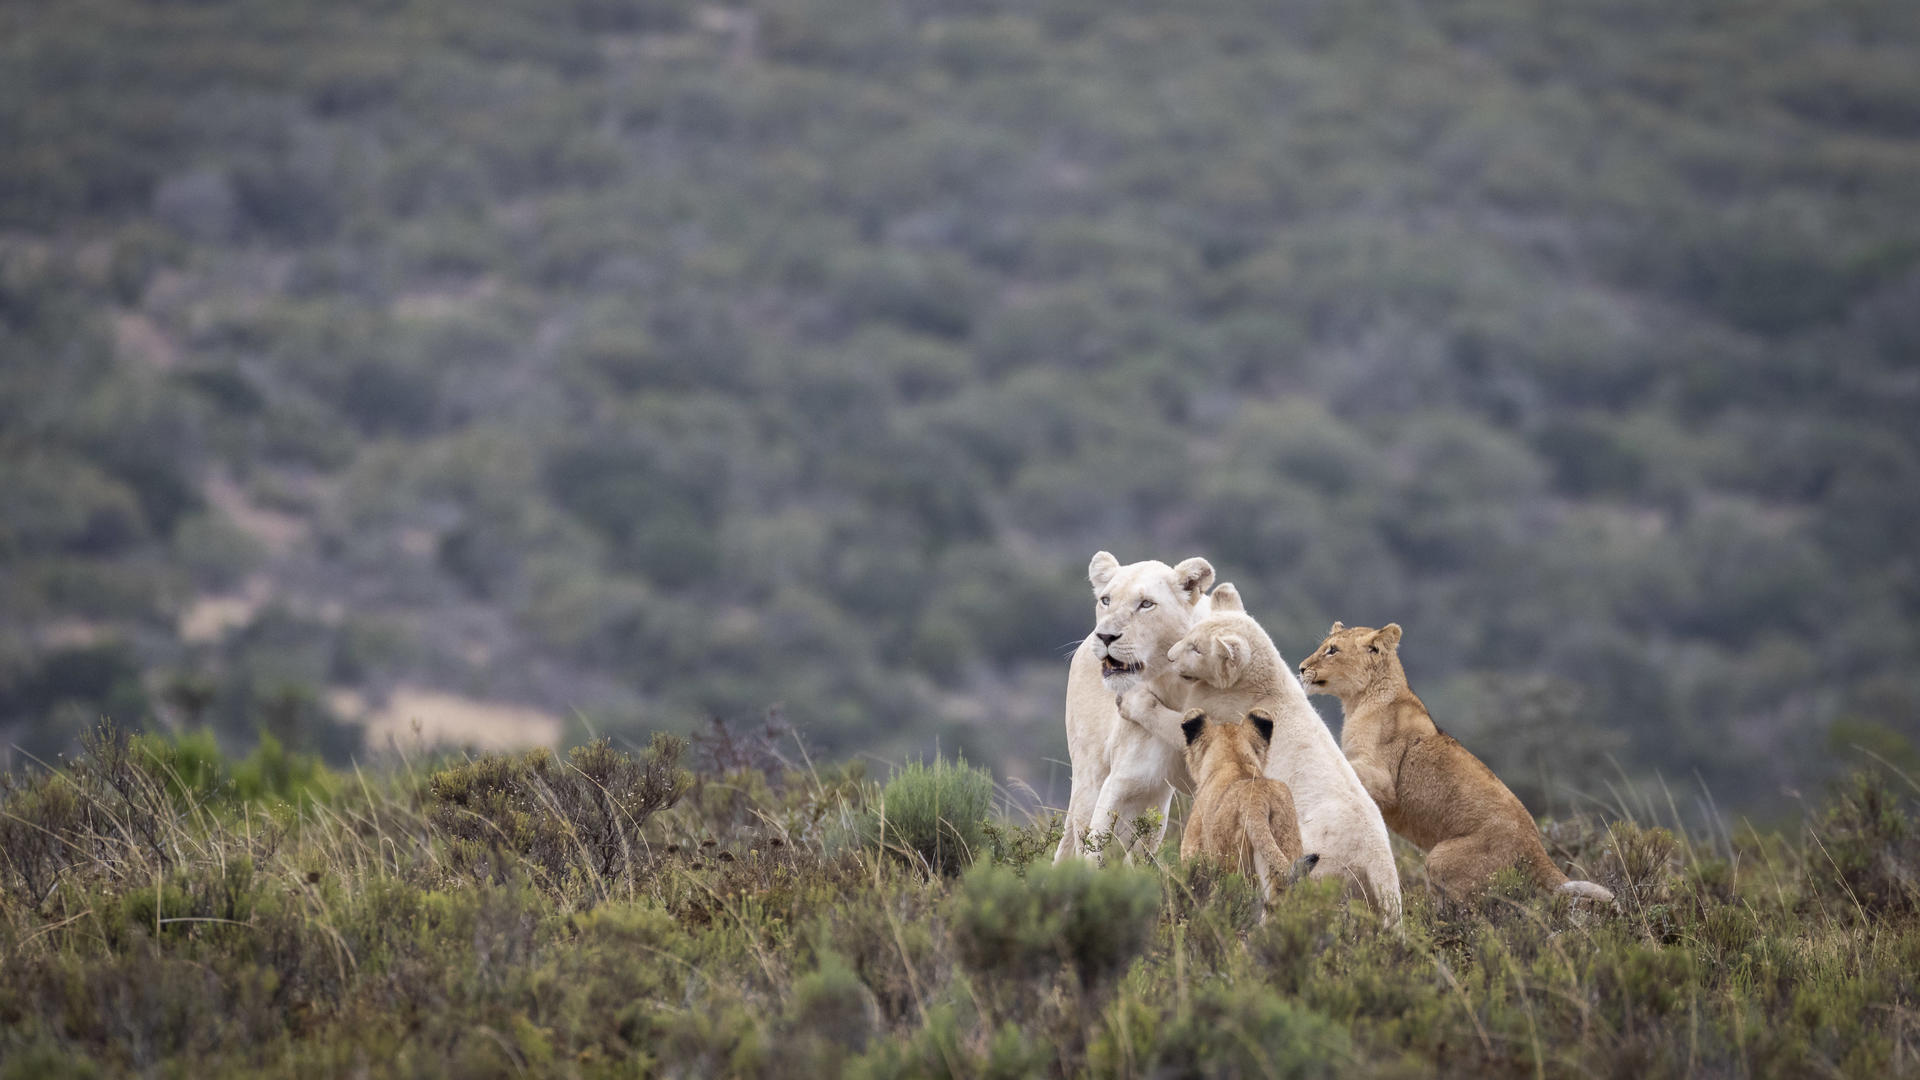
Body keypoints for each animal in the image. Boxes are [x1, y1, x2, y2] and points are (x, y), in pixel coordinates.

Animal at [1054, 551, 1237, 862]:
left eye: (1146, 604)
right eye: (1106, 600)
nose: (1105, 637)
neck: (1176, 685)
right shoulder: (1127, 777)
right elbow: (1095, 847)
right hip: (1092, 775)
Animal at [1299, 622, 1613, 904]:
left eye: (1332, 650)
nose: (1301, 668)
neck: (1358, 701)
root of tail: (1537, 845)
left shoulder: (1384, 781)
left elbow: (1350, 768)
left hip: (1441, 859)